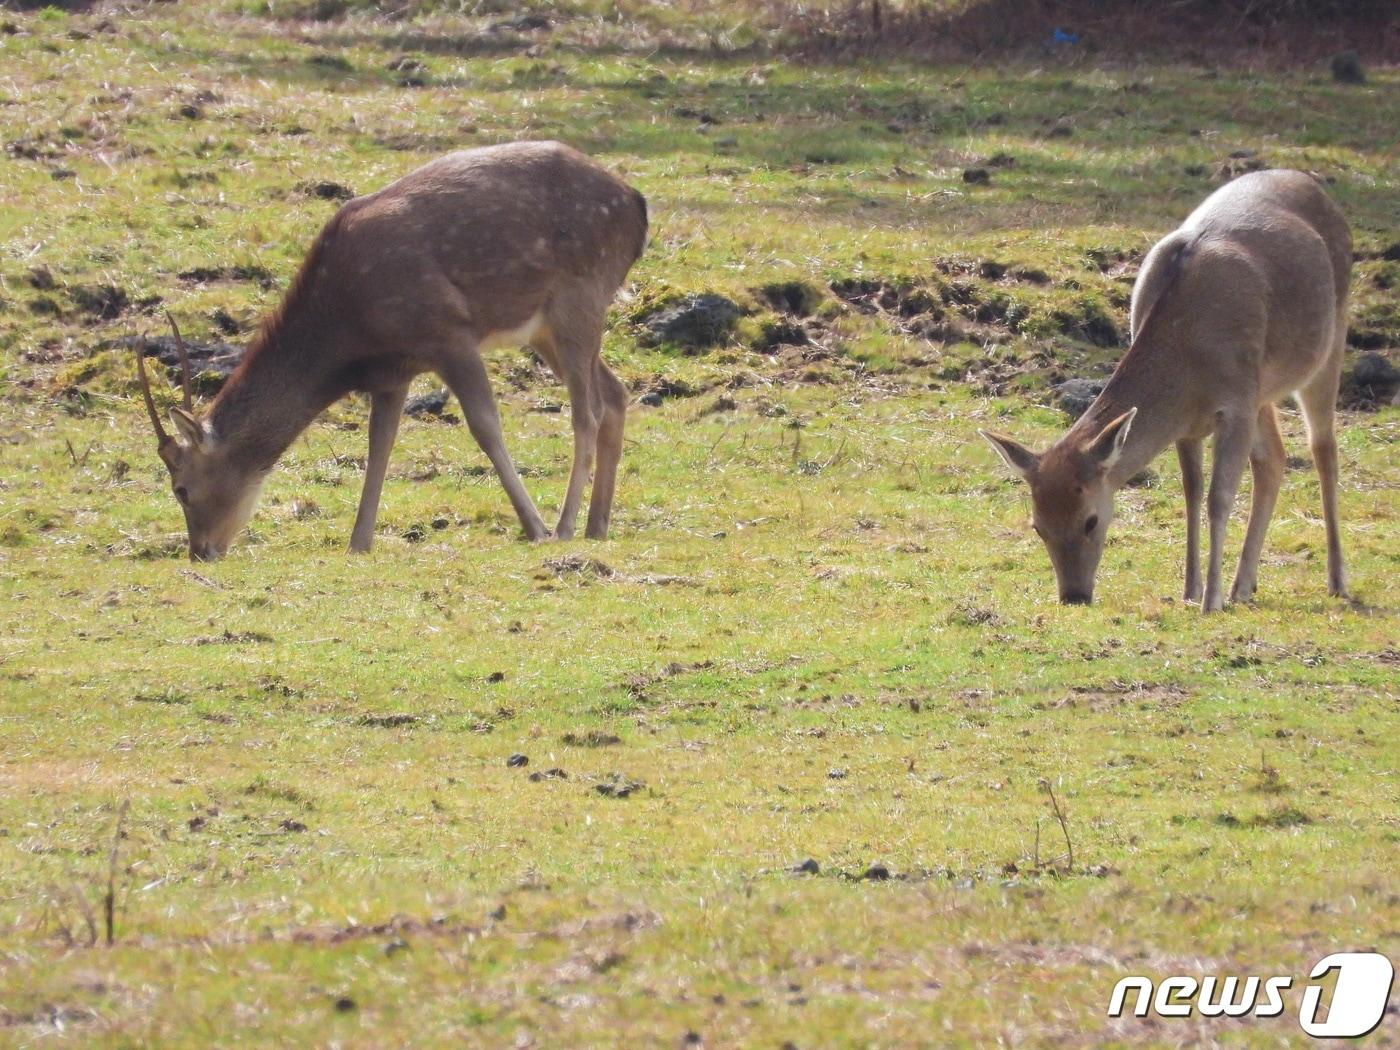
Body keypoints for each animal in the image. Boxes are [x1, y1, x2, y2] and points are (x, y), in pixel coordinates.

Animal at [133, 146, 646, 568]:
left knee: (586, 411)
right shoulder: (392, 373)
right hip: (545, 328)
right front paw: (359, 541)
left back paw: (564, 526)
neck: (347, 332)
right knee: (615, 393)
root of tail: (638, 205)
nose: (200, 551)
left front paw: (533, 527)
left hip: (579, 295)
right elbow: (379, 445)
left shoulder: (448, 333)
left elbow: (484, 425)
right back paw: (598, 524)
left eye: (181, 488)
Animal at [980, 169, 1349, 613]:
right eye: (1037, 526)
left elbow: (1219, 496)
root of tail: (1313, 185)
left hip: (1330, 339)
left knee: (1323, 449)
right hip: (1264, 388)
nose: (1074, 596)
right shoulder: (1191, 421)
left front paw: (1210, 600)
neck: (1189, 355)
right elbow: (1191, 493)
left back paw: (1336, 580)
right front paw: (1191, 590)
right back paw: (1245, 586)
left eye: (1090, 520)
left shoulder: (1237, 402)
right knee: (1273, 459)